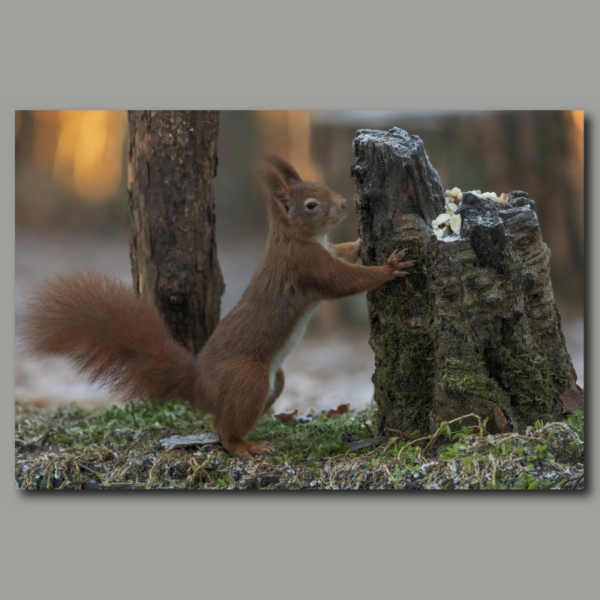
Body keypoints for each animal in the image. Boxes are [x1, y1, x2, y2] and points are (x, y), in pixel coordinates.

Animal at [19, 155, 412, 460]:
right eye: (311, 204)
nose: (345, 204)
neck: (293, 235)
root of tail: (200, 386)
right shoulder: (305, 266)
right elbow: (342, 281)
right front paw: (388, 268)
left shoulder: (324, 252)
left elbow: (343, 253)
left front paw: (359, 242)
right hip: (248, 378)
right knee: (225, 431)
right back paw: (246, 447)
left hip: (274, 381)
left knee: (222, 421)